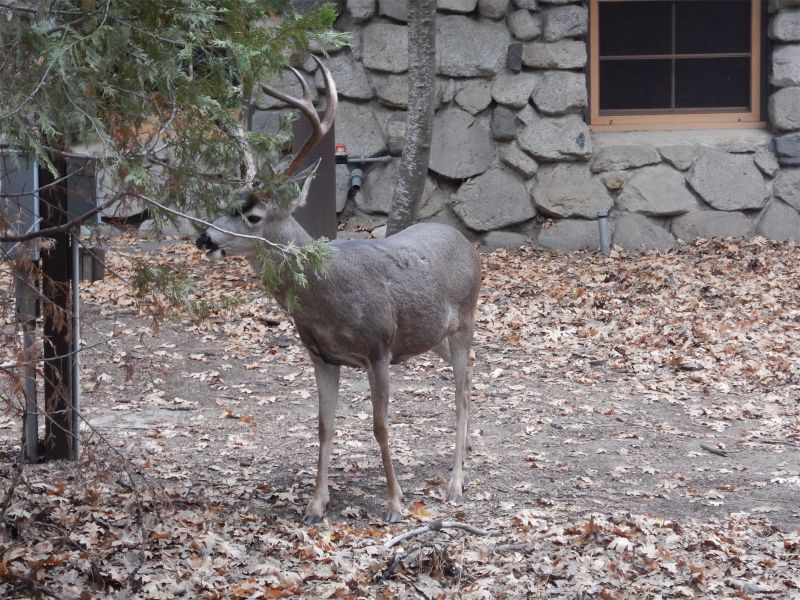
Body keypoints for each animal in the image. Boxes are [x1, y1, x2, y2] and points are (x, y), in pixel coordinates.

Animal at [195, 57, 482, 524]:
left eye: (253, 216)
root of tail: (466, 243)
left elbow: (380, 425)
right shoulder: (321, 355)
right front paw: (316, 504)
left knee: (459, 390)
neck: (326, 299)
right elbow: (324, 425)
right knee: (470, 377)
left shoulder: (379, 347)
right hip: (430, 333)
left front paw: (395, 503)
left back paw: (456, 483)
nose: (204, 238)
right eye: (227, 203)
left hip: (466, 318)